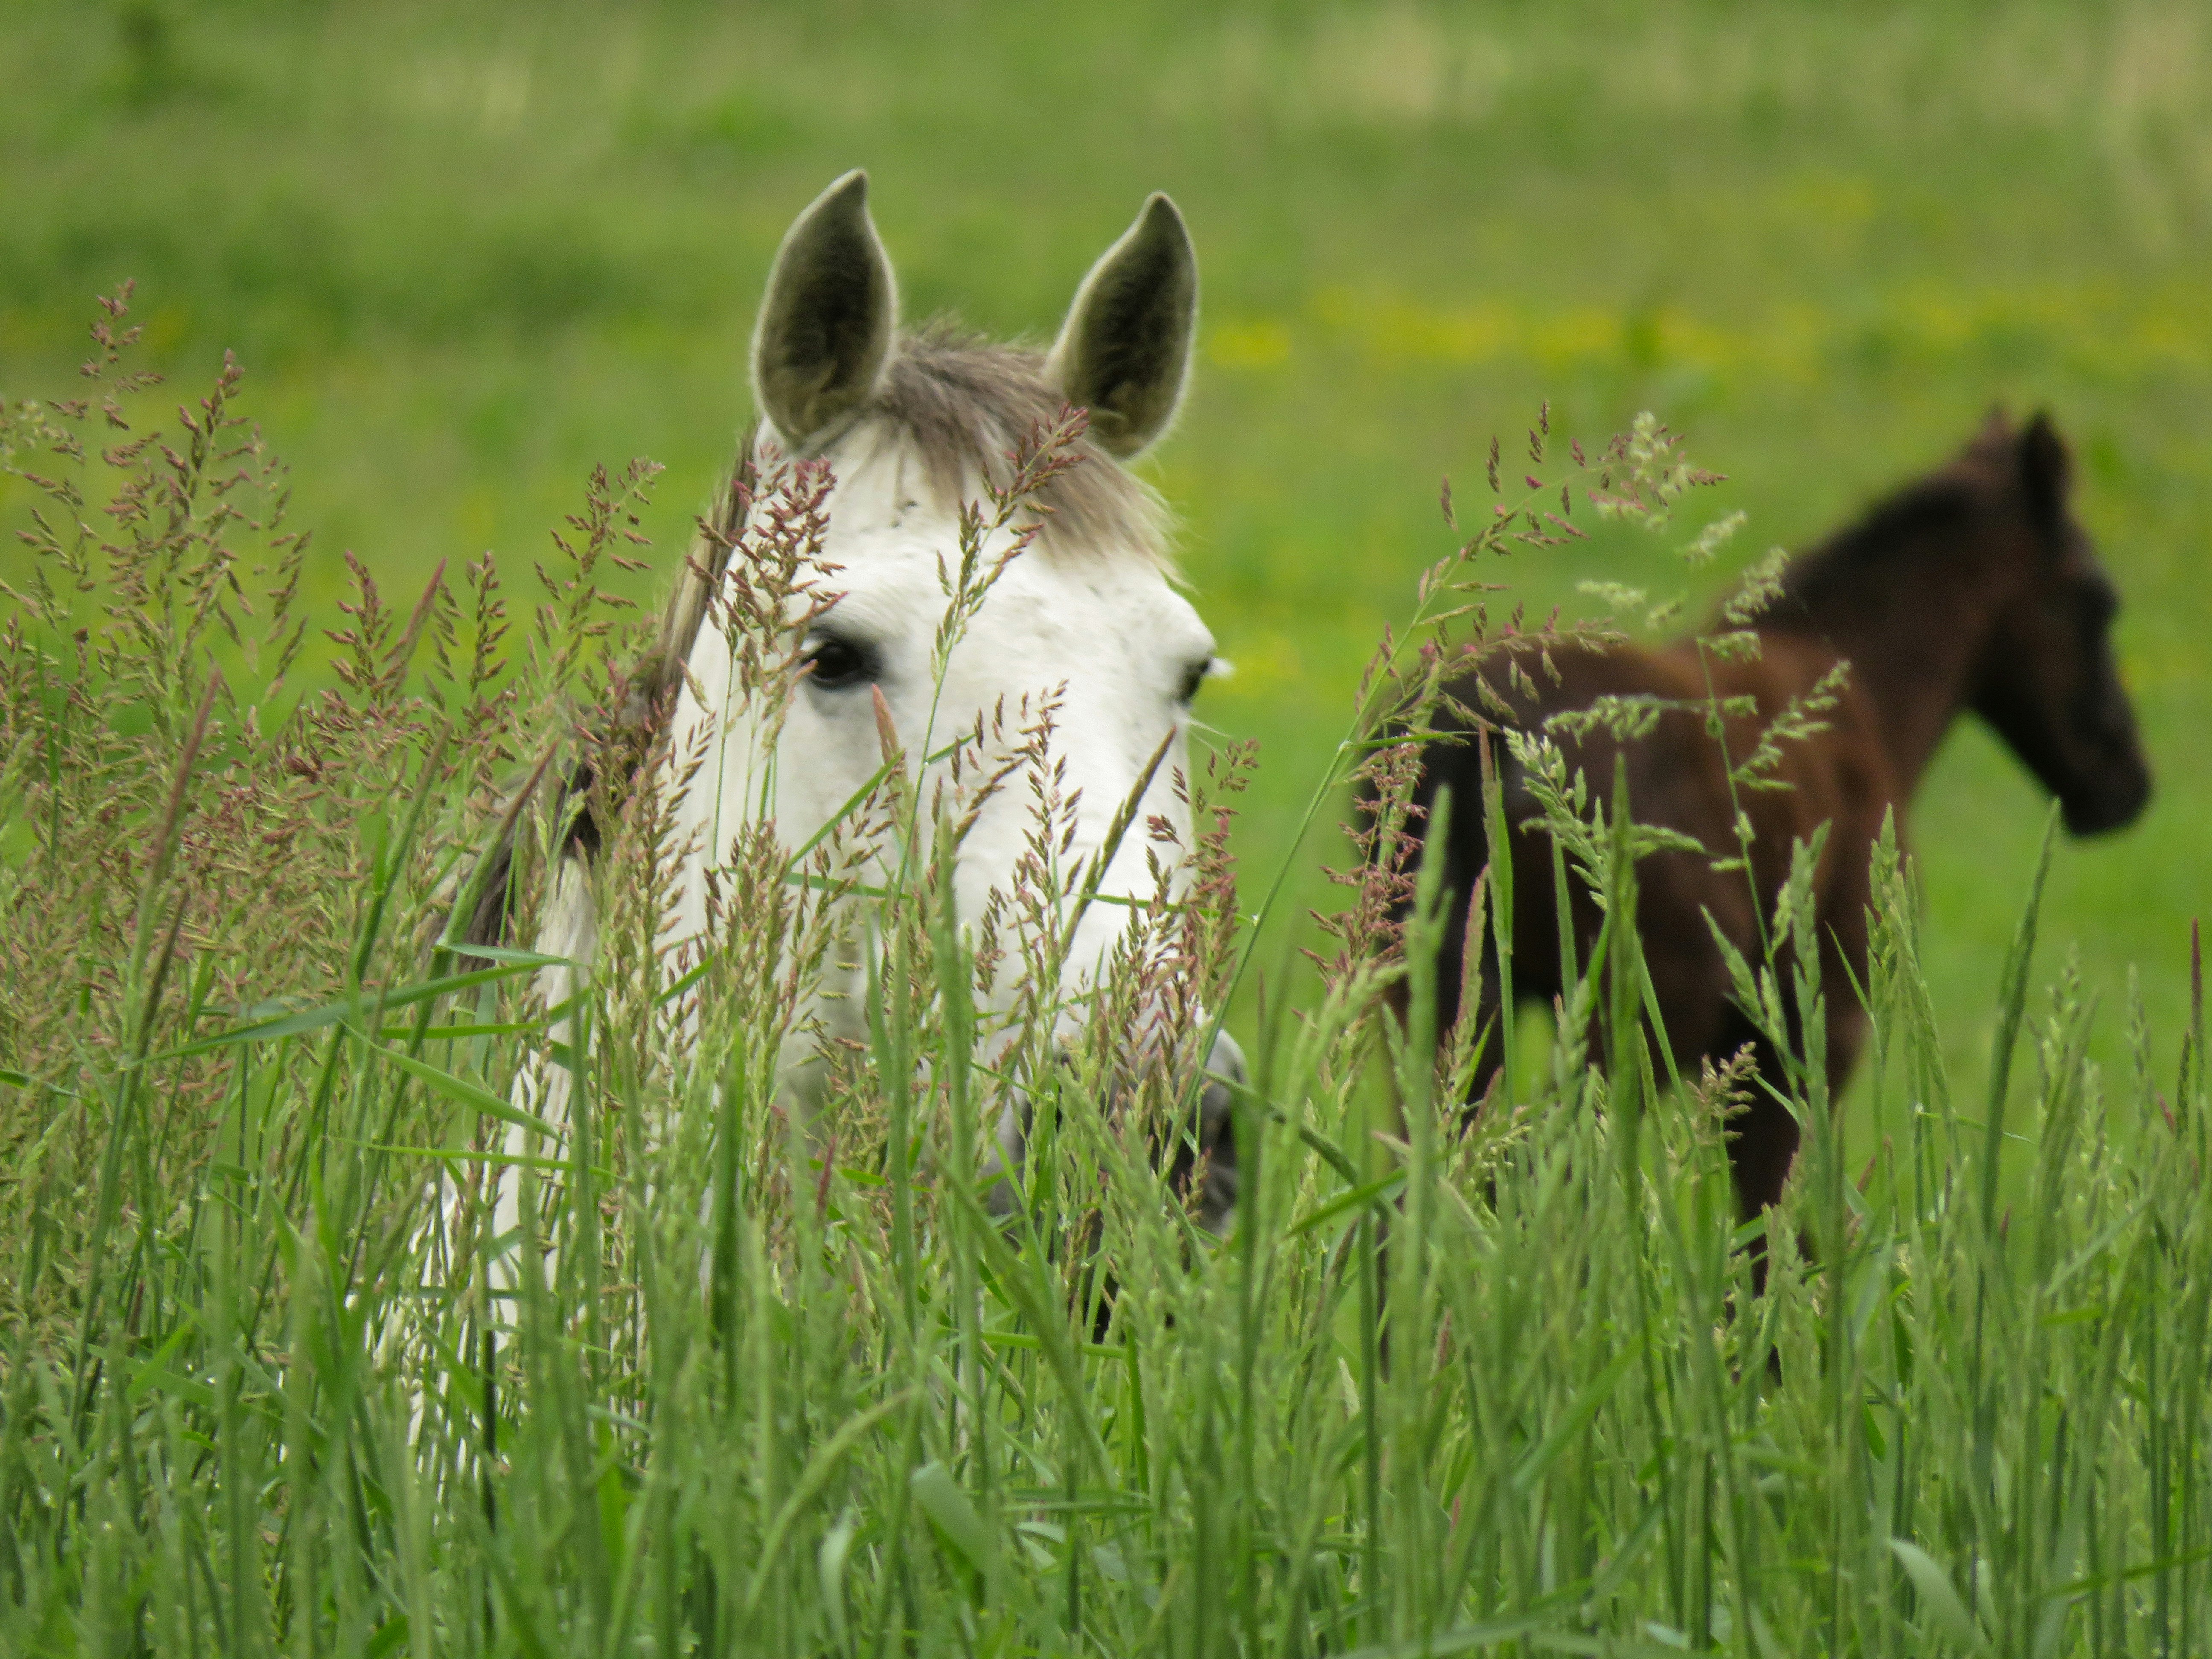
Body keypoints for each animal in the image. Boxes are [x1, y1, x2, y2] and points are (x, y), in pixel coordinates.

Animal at [1392, 410, 2150, 1225]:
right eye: (2097, 599)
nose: (2126, 784)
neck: (1859, 694)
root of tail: (1475, 739)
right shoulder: (1811, 1034)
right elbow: (1776, 1229)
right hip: (1625, 1020)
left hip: (1444, 1005)